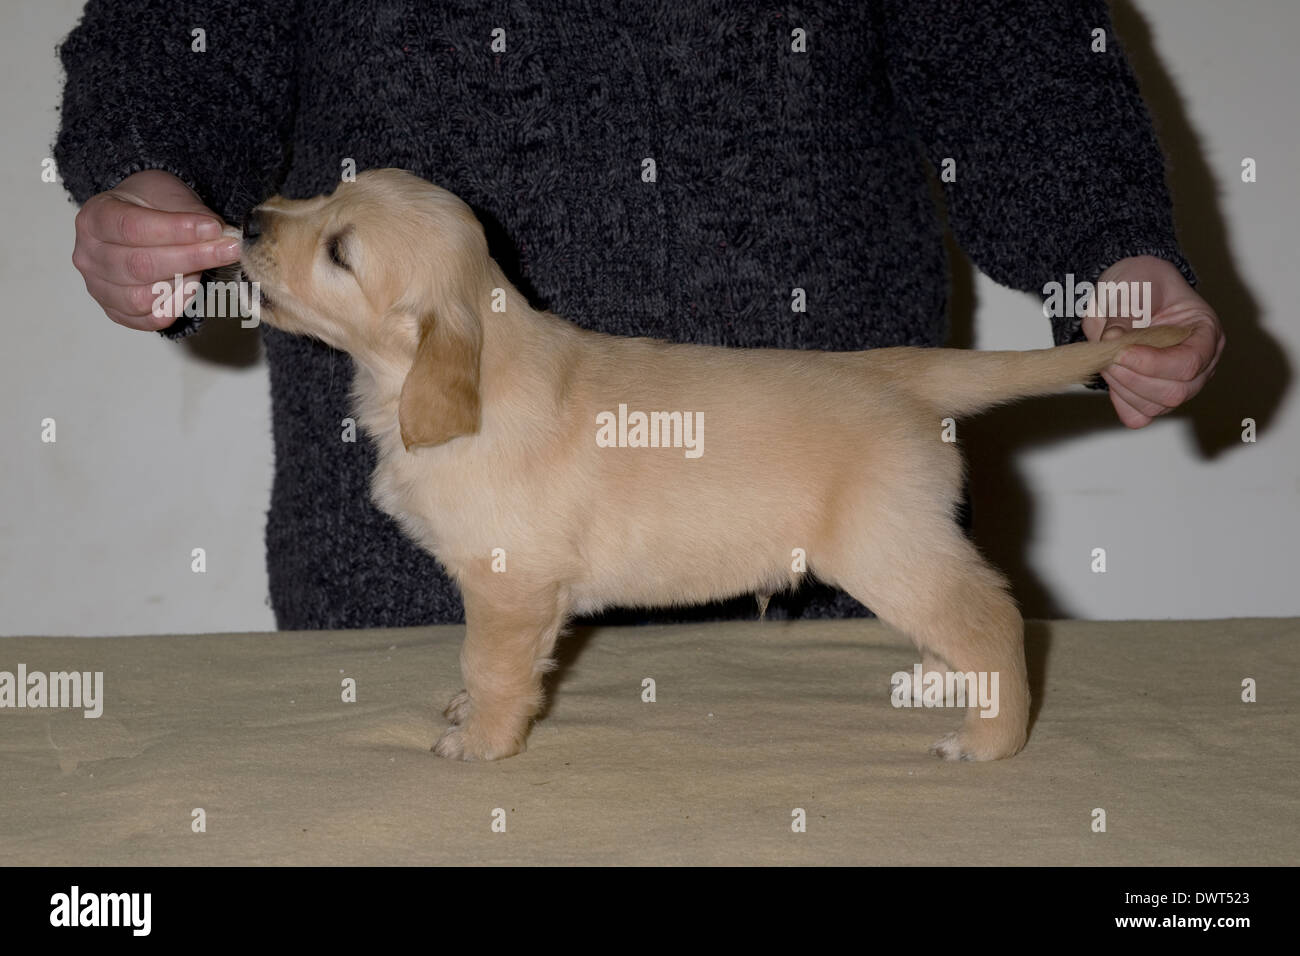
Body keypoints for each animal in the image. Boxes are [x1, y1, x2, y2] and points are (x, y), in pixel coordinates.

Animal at [239, 166, 1190, 764]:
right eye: (329, 188)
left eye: (341, 252)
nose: (248, 220)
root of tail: (896, 371)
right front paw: (475, 718)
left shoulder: (510, 586)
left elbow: (492, 665)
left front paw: (480, 743)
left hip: (886, 545)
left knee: (992, 615)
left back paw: (991, 737)